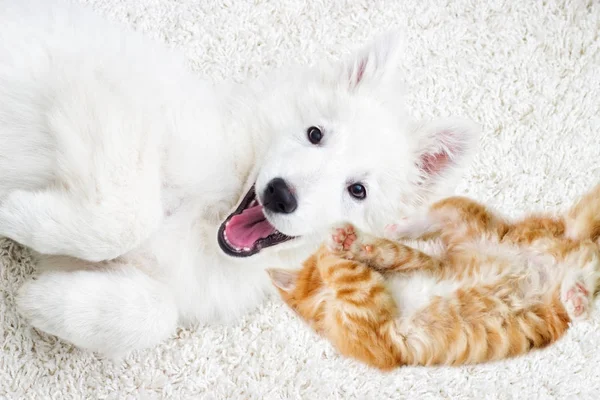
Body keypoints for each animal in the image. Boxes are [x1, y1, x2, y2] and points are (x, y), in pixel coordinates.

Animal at [0, 0, 478, 356]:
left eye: (357, 191)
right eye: (315, 134)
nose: (279, 194)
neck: (209, 215)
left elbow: (157, 313)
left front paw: (41, 301)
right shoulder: (105, 101)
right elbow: (124, 221)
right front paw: (13, 213)